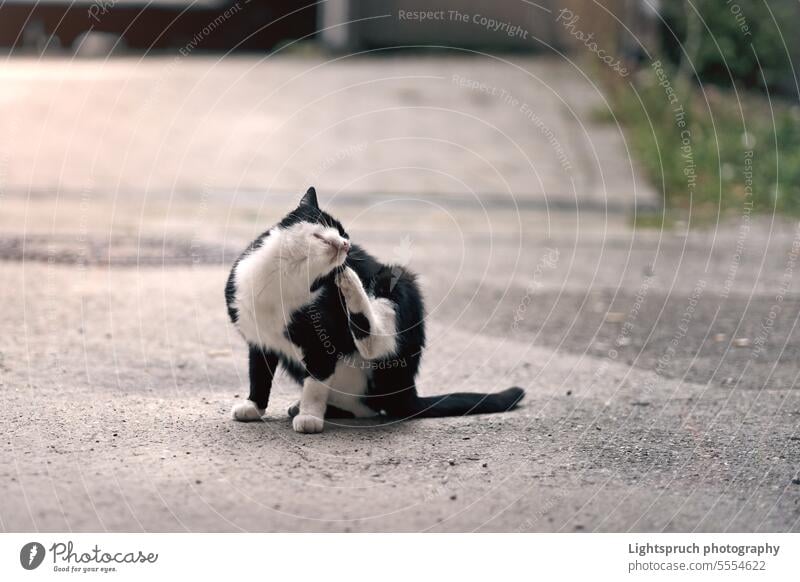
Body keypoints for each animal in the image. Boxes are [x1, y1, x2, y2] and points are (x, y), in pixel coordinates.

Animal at [225, 188, 524, 434]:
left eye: (345, 235)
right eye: (332, 227)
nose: (346, 245)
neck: (284, 276)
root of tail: (406, 390)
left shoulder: (322, 342)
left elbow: (316, 381)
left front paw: (310, 416)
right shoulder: (260, 339)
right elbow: (259, 373)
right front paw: (254, 406)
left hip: (399, 281)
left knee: (377, 345)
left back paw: (351, 284)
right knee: (360, 407)